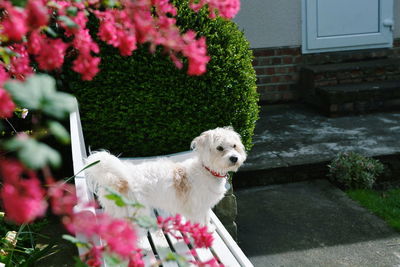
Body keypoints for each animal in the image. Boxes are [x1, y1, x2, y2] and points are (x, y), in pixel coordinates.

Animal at [85, 127, 247, 228]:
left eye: (234, 146)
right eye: (219, 148)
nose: (234, 158)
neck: (206, 170)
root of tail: (118, 180)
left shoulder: (204, 206)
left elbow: (206, 220)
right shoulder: (196, 208)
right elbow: (198, 223)